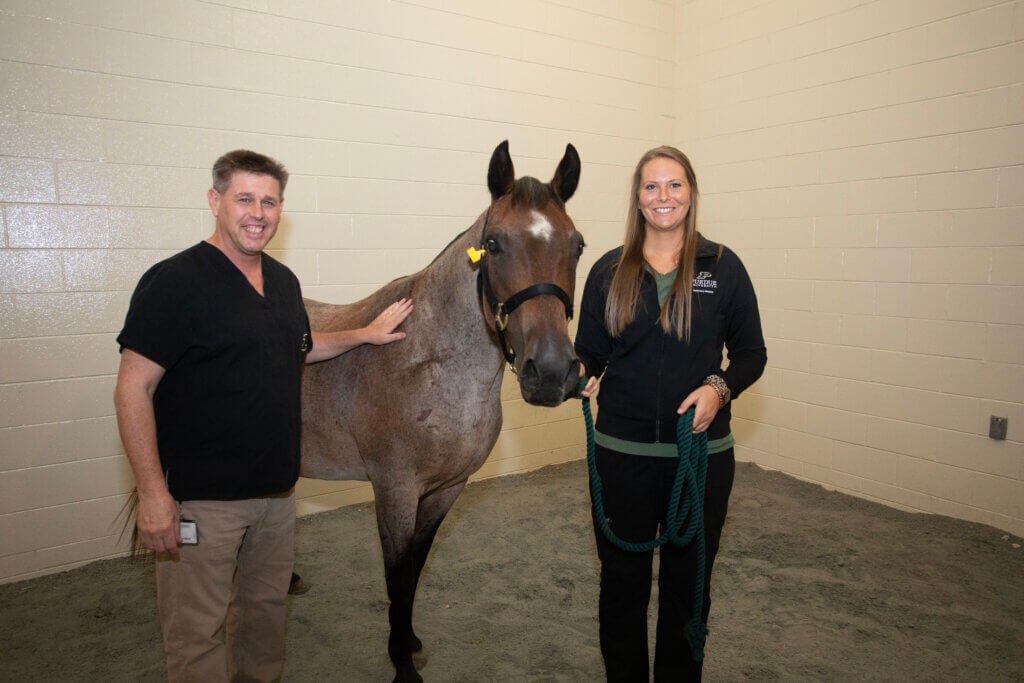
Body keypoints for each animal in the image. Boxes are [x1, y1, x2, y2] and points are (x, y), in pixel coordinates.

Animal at [299, 141, 581, 679]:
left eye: (576, 245)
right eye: (493, 243)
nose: (552, 372)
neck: (426, 361)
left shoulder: (447, 489)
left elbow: (415, 568)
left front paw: (407, 643)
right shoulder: (394, 490)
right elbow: (396, 575)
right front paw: (402, 664)